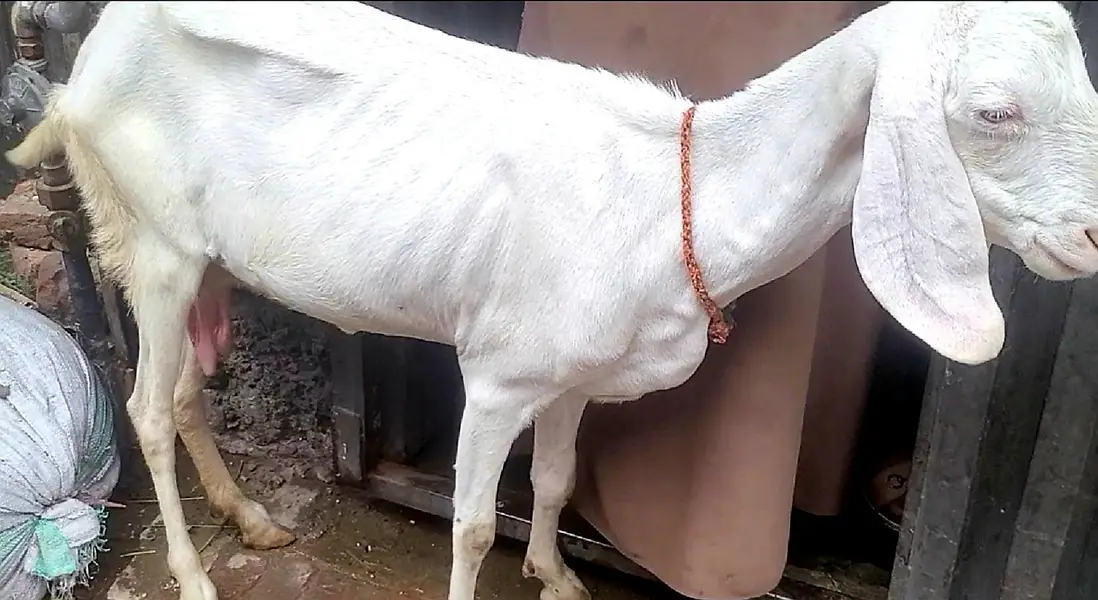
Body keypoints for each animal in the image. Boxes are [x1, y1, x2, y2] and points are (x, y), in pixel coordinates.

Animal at [8, 2, 1098, 599]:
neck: (682, 195)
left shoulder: (576, 372)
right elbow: (470, 524)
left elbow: (559, 480)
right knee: (148, 408)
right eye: (993, 111)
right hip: (152, 240)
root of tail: (86, 60)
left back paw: (253, 522)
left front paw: (559, 574)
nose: (1090, 238)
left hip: (199, 255)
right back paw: (194, 574)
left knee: (186, 391)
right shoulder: (500, 377)